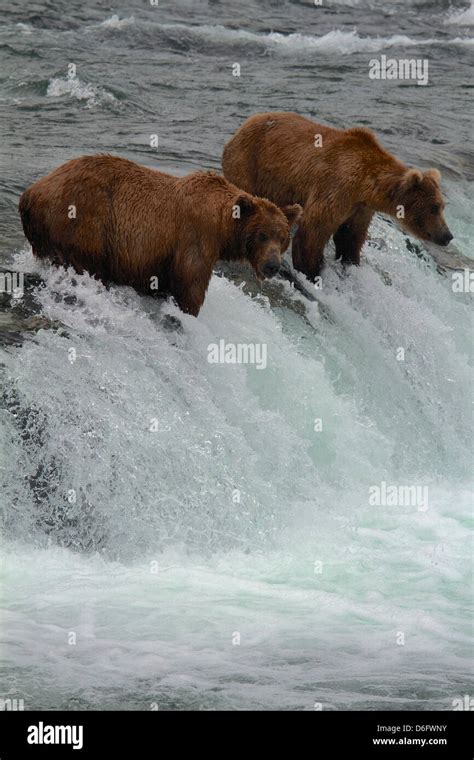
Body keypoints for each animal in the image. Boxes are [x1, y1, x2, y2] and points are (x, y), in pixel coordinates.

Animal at [20, 156, 302, 316]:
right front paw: (189, 311)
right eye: (262, 235)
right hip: (84, 220)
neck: (221, 228)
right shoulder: (194, 238)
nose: (273, 266)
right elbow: (190, 284)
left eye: (282, 237)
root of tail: (32, 192)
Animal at [222, 111, 452, 280]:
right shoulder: (336, 188)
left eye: (442, 206)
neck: (365, 184)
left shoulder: (360, 207)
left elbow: (350, 236)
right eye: (433, 207)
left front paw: (350, 261)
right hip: (249, 165)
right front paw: (312, 271)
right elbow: (313, 231)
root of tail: (240, 129)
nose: (447, 235)